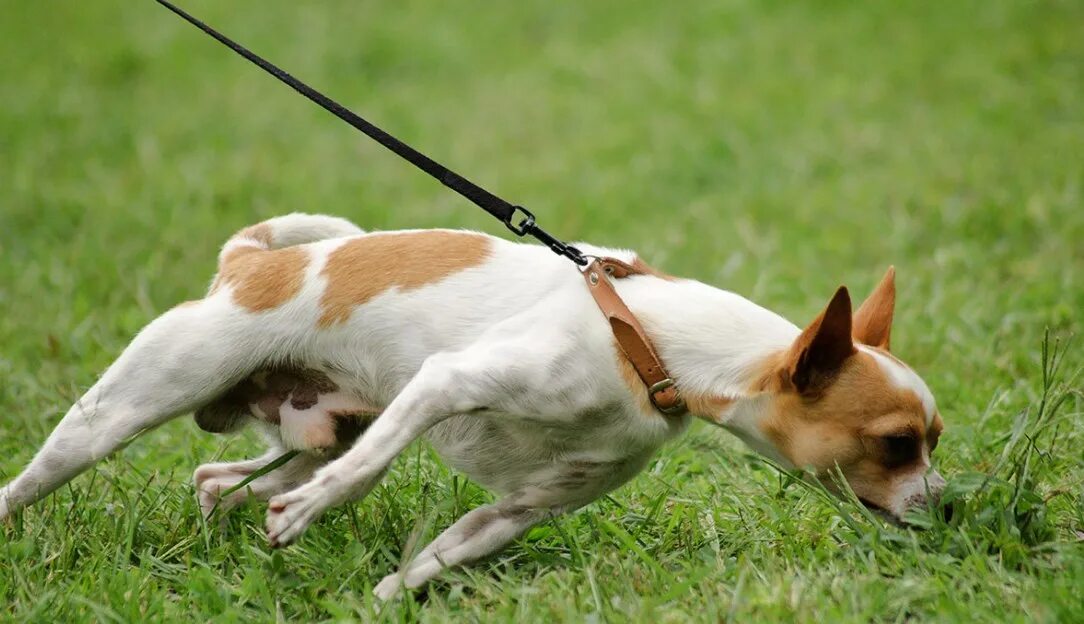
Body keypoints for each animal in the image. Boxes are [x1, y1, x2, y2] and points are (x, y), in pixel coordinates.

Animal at [0, 214, 945, 598]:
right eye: (898, 444)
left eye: (934, 440)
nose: (951, 508)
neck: (645, 338)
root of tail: (248, 263)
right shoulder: (446, 383)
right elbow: (367, 474)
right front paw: (312, 516)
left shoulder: (521, 510)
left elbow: (428, 566)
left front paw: (380, 598)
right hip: (118, 414)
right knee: (39, 478)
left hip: (317, 428)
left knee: (219, 478)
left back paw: (222, 516)